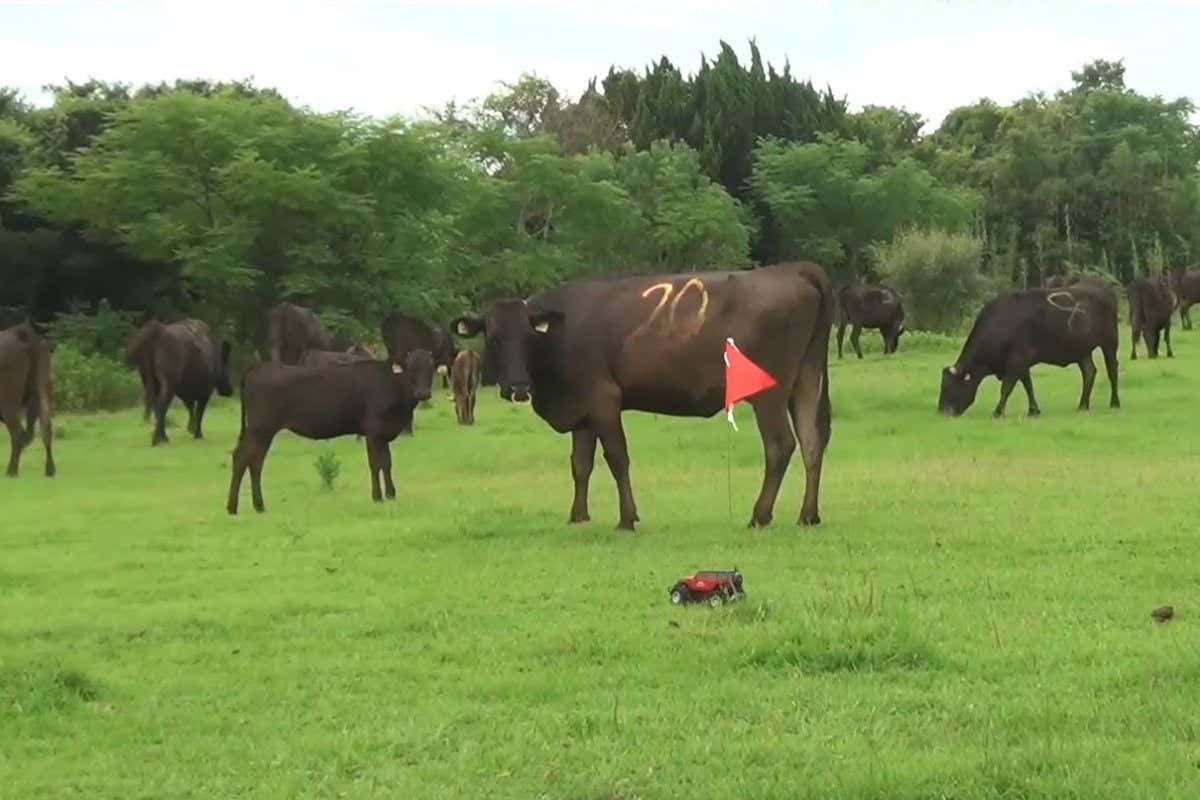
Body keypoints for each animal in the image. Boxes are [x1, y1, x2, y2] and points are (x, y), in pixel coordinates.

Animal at [0, 323, 55, 477]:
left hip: (7, 402)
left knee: (18, 434)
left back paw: (11, 471)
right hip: (43, 386)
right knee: (45, 426)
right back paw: (50, 470)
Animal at [226, 350, 434, 514]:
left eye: (430, 370)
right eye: (411, 369)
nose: (423, 393)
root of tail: (259, 367)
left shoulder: (383, 434)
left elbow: (387, 463)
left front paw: (391, 494)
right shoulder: (373, 432)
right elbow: (376, 464)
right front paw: (377, 497)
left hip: (260, 430)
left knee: (253, 461)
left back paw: (257, 506)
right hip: (261, 428)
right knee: (244, 458)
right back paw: (233, 507)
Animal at [451, 262, 833, 530]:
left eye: (529, 336)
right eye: (494, 338)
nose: (518, 388)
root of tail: (793, 268)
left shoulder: (604, 399)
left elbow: (617, 458)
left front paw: (627, 518)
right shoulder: (582, 409)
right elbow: (580, 464)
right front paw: (578, 515)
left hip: (769, 392)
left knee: (781, 445)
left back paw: (760, 514)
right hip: (806, 378)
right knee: (813, 441)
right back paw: (808, 515)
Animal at [938, 285, 1120, 417]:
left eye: (947, 387)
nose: (941, 411)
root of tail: (1104, 288)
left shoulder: (1017, 359)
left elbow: (1007, 386)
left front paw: (998, 411)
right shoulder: (1022, 362)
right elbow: (1028, 385)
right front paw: (1033, 410)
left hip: (1110, 343)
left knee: (1112, 370)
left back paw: (1114, 403)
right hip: (1081, 350)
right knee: (1089, 372)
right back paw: (1082, 405)